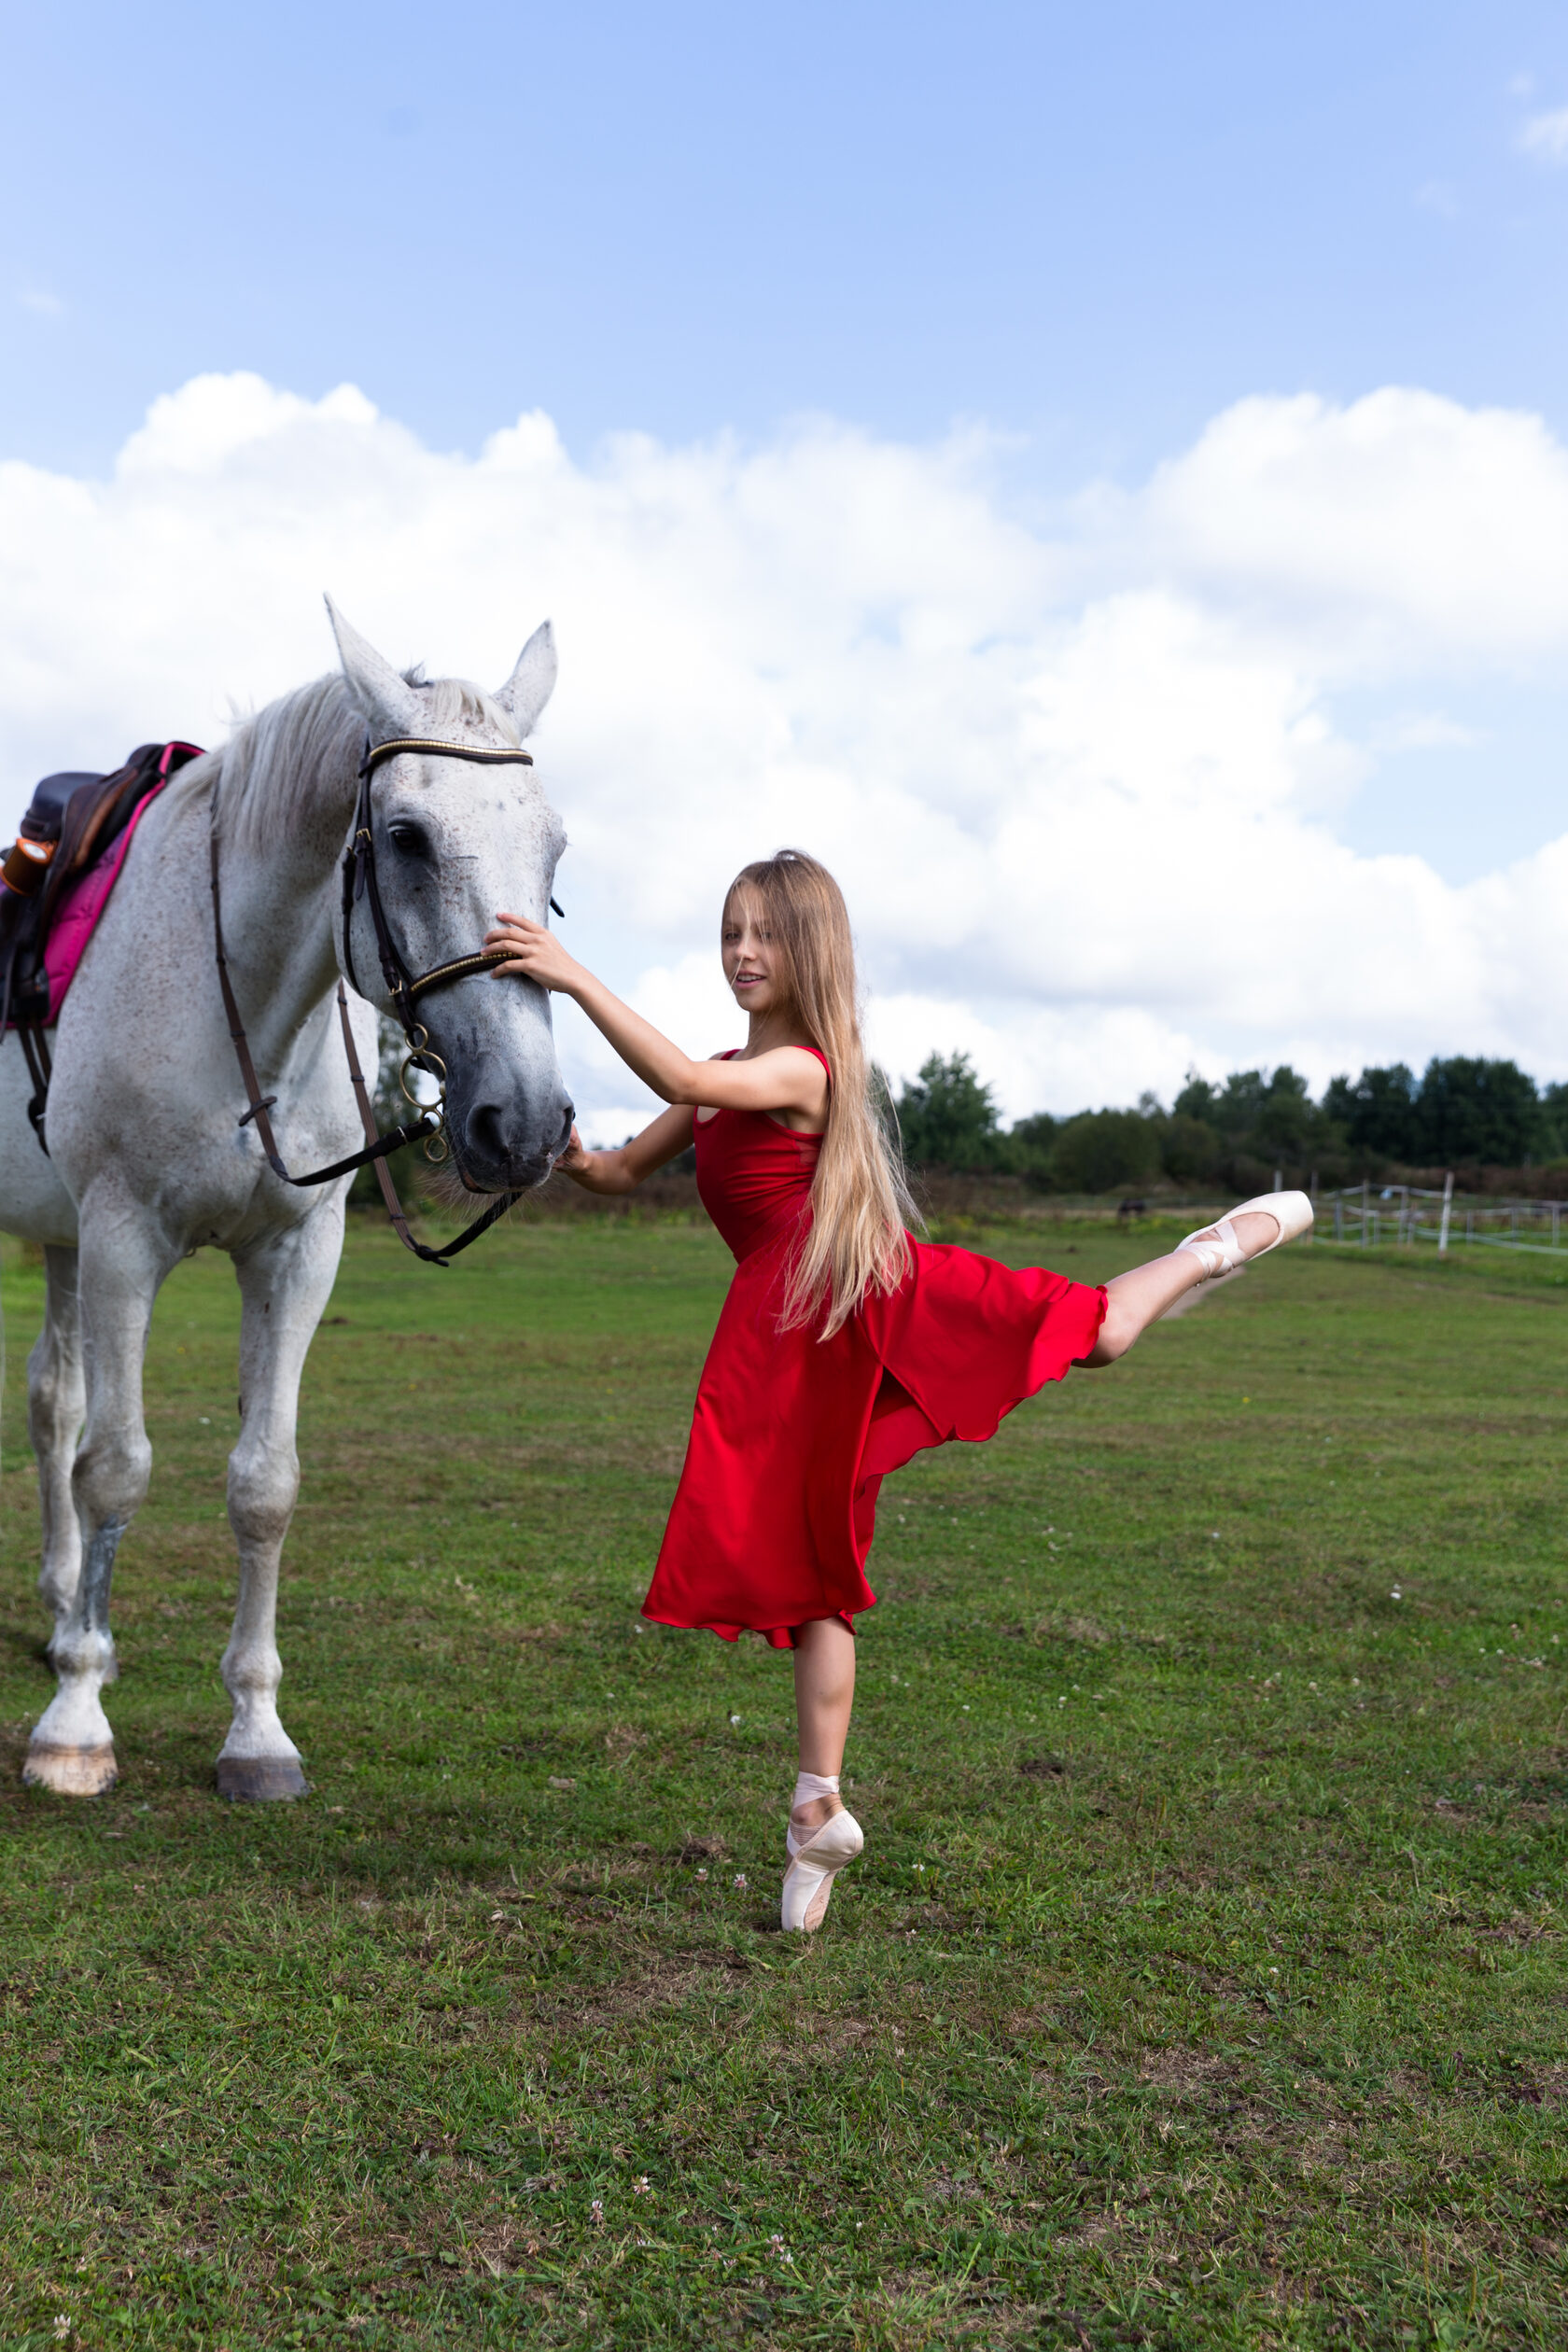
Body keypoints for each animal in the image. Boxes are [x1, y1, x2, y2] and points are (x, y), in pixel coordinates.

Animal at [0, 602, 576, 1797]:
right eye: (404, 837)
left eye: (554, 846)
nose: (527, 1123)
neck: (244, 1009)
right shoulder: (123, 1240)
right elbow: (115, 1470)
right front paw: (76, 1720)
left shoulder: (297, 1252)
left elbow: (264, 1483)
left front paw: (256, 1733)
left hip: (62, 1244)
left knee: (51, 1401)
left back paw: (61, 1605)